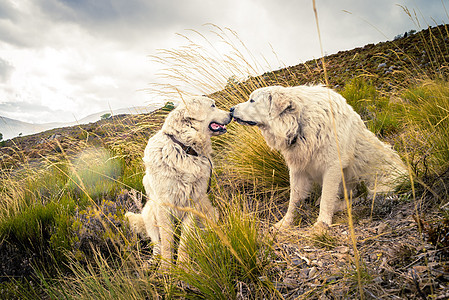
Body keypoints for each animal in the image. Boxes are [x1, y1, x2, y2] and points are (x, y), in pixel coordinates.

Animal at [126, 96, 231, 270]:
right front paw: (167, 269)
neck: (185, 149)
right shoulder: (163, 206)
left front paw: (183, 266)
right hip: (149, 212)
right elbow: (167, 242)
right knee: (157, 244)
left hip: (210, 213)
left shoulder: (193, 204)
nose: (231, 112)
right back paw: (152, 263)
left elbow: (185, 241)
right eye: (212, 106)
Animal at [231, 85, 406, 226]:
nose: (231, 109)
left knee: (362, 198)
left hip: (379, 186)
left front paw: (322, 224)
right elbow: (293, 200)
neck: (300, 122)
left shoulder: (332, 167)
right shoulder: (297, 170)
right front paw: (284, 224)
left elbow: (326, 199)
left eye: (252, 100)